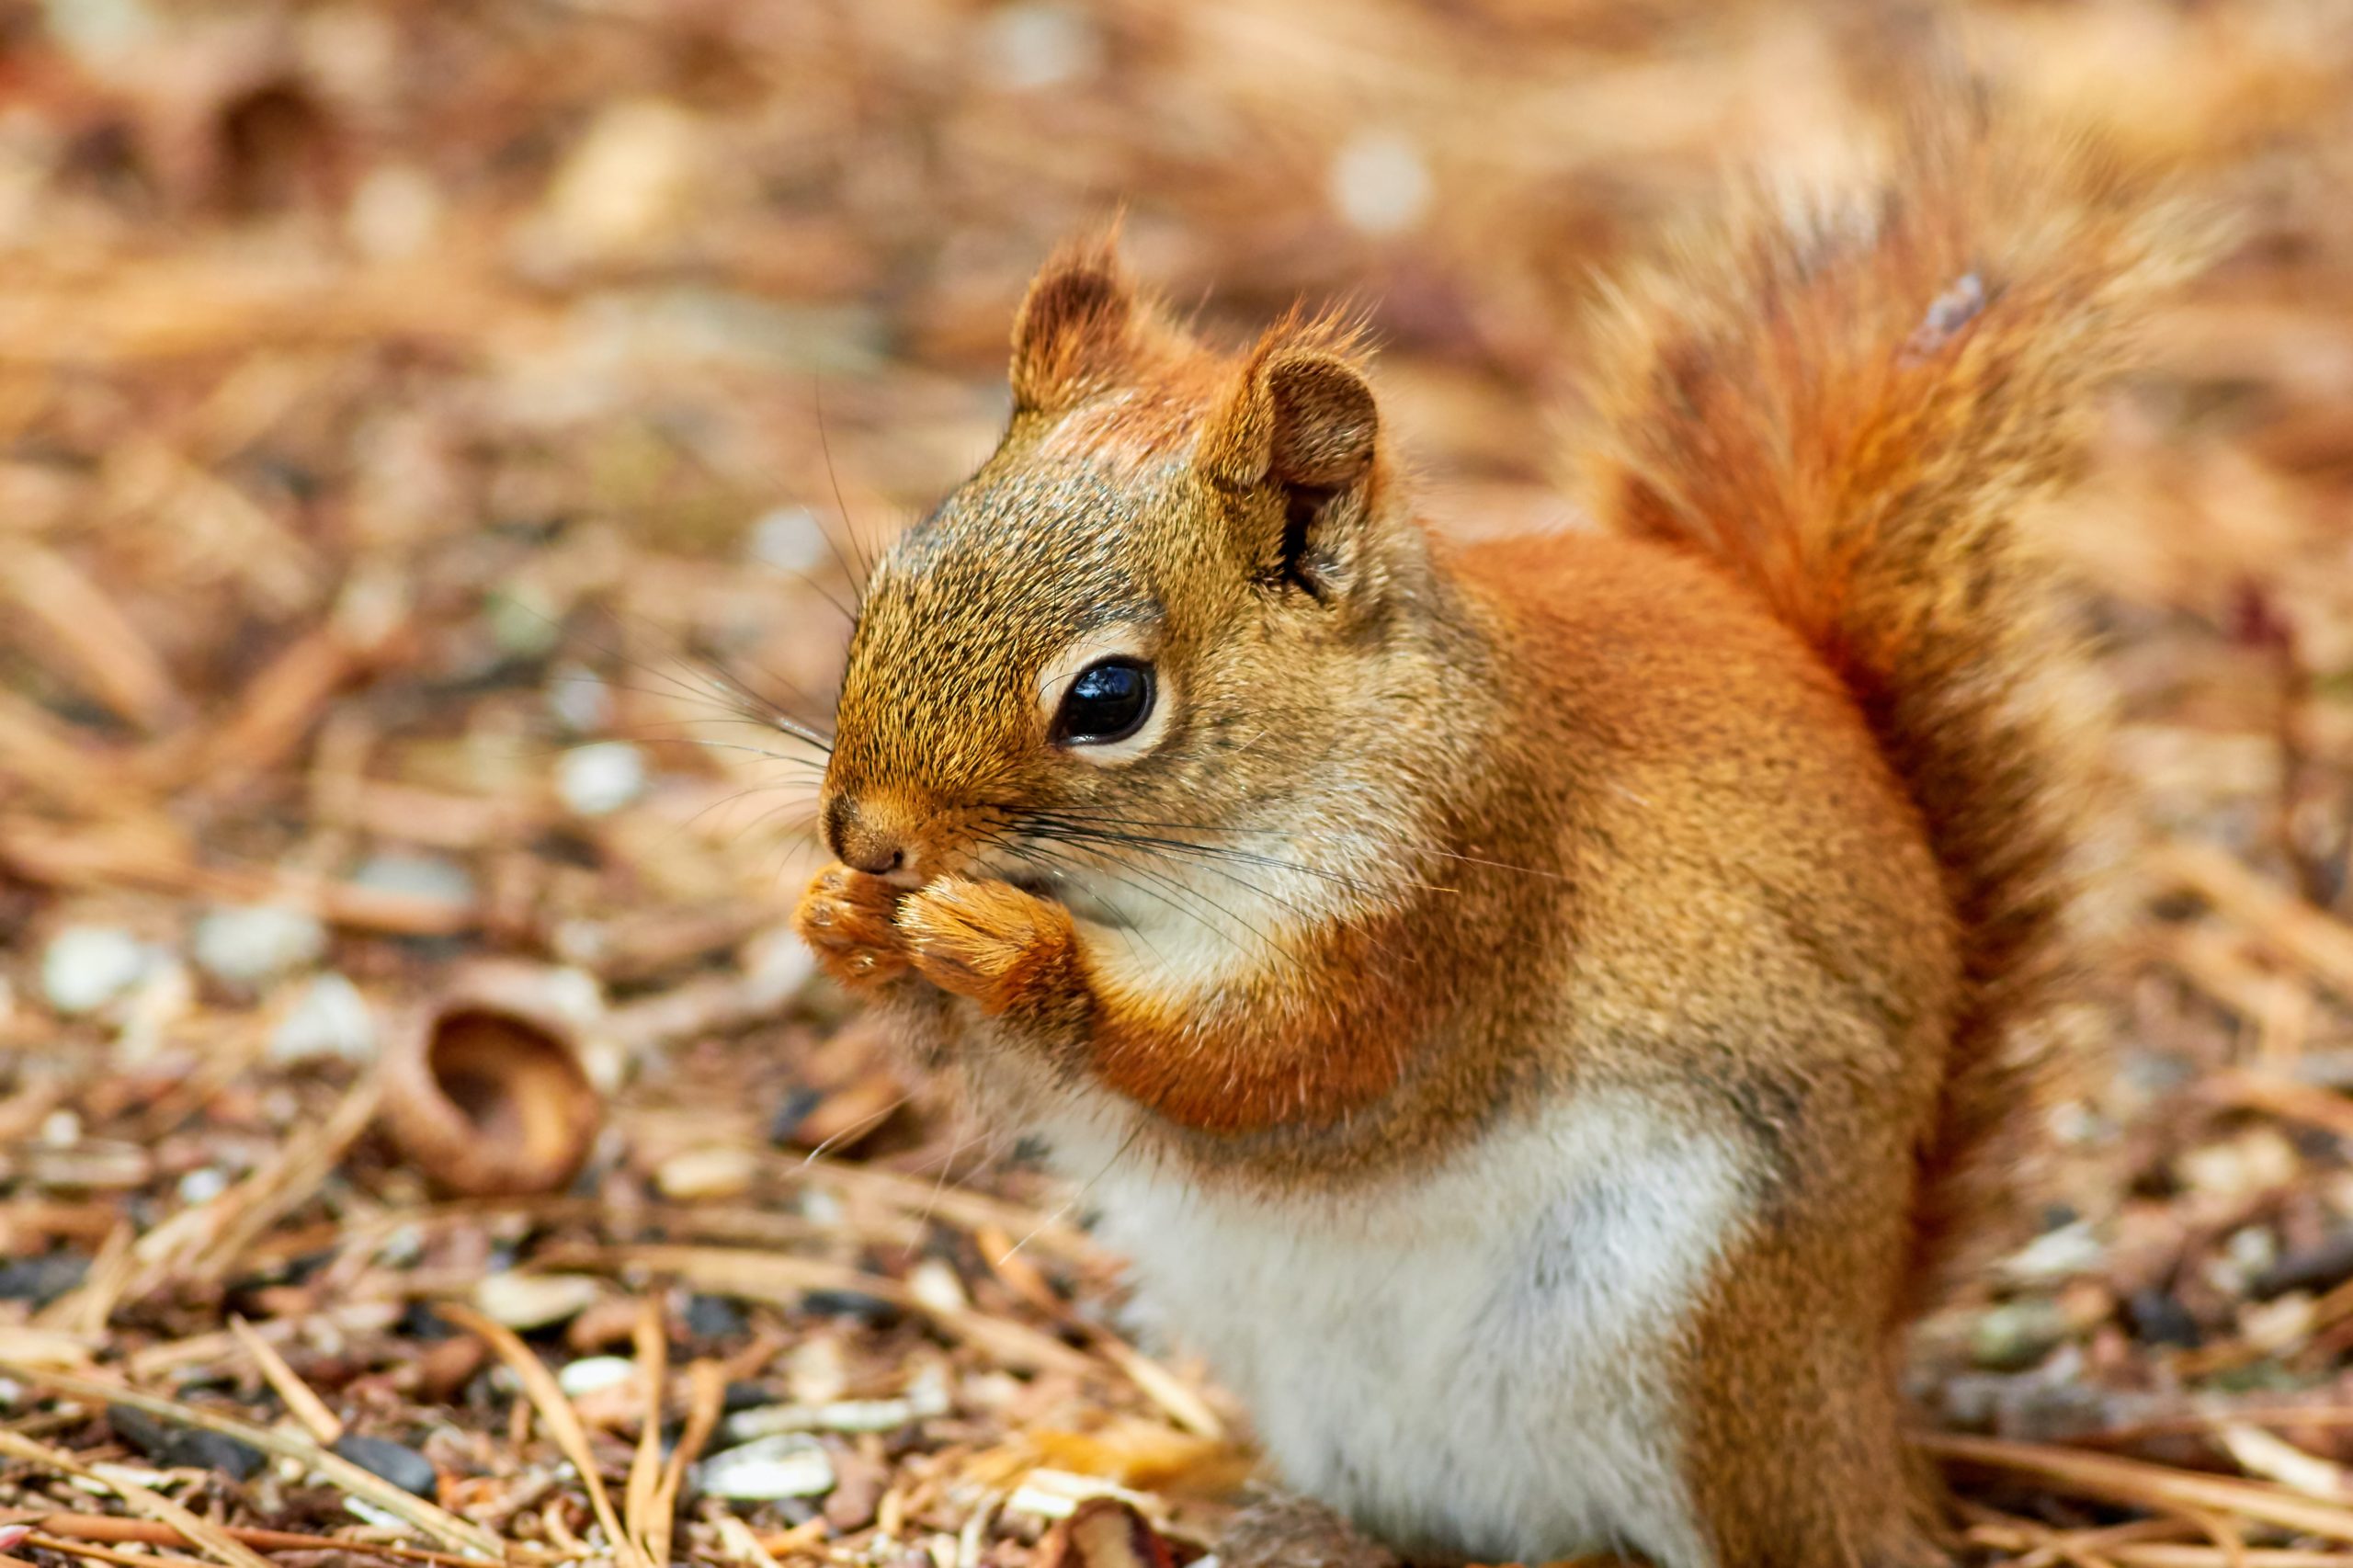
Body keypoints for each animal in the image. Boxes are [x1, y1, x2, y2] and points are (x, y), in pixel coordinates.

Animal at [795, 122, 2202, 1562]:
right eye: (887, 583)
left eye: (1108, 698)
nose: (865, 833)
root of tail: (1862, 1395)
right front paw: (841, 920)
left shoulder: (1453, 890)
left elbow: (1281, 1063)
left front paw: (1023, 952)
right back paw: (1127, 1455)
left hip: (1696, 1335)